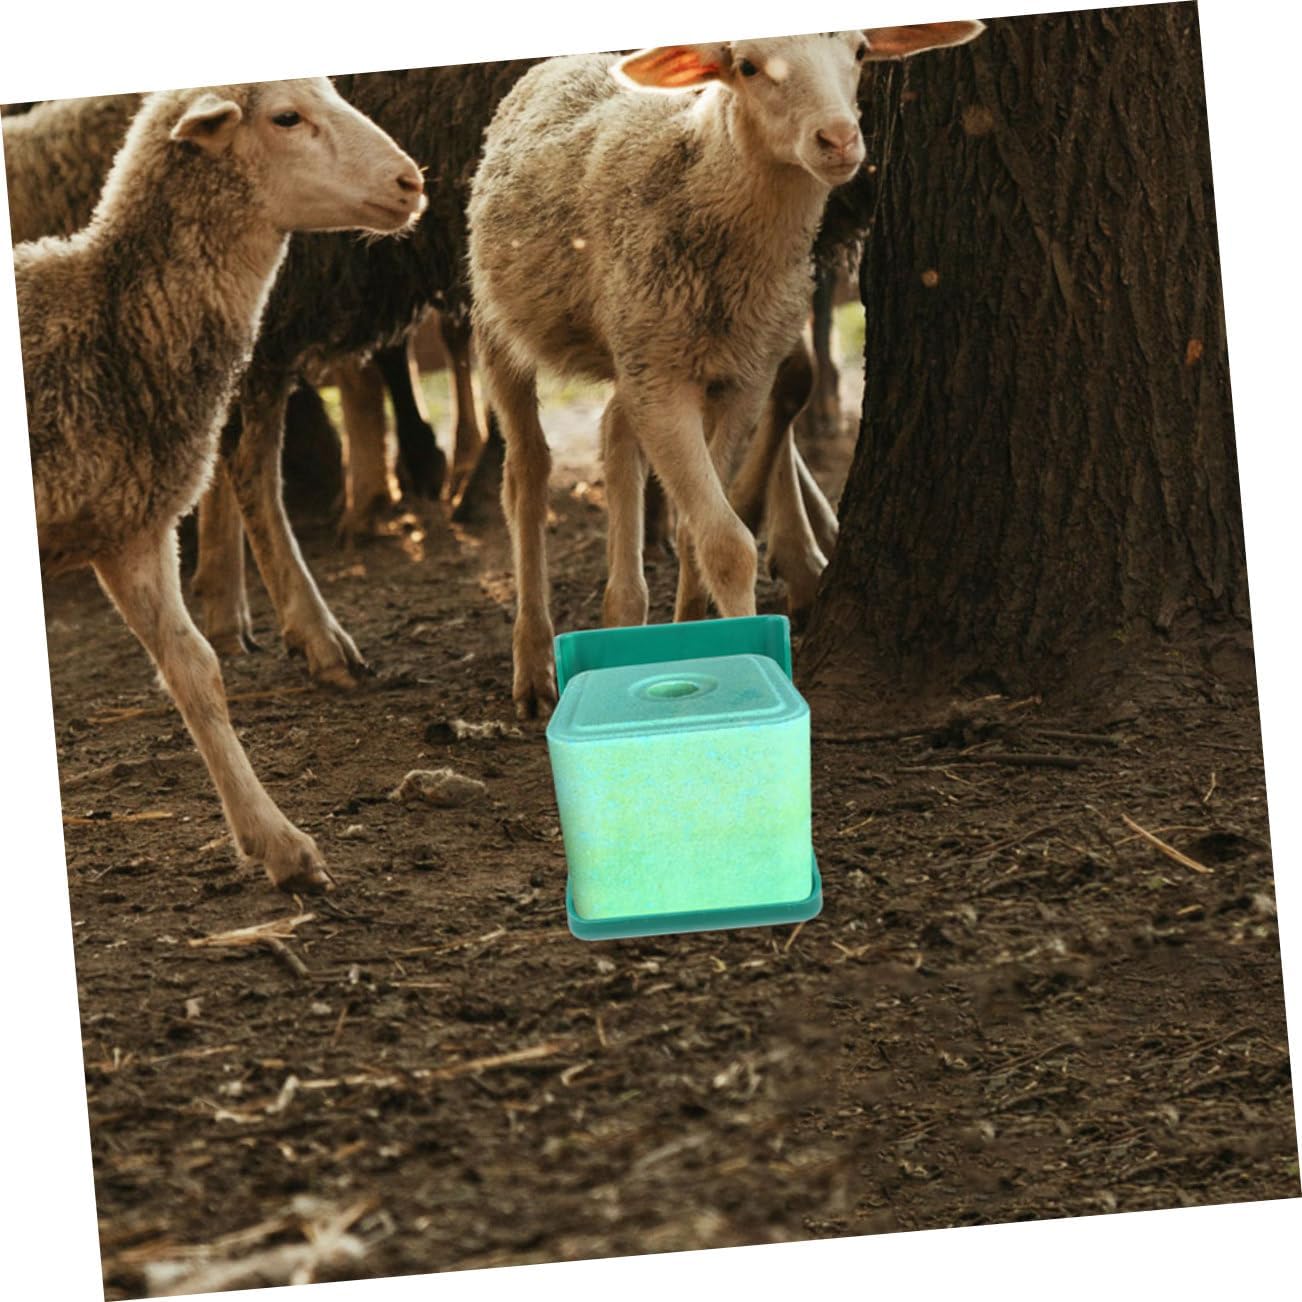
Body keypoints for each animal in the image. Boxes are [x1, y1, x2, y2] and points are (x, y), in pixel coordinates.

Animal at [16, 78, 426, 890]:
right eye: (286, 118)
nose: (411, 182)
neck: (109, 321)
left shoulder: (134, 528)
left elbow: (196, 669)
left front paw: (280, 843)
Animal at [468, 23, 985, 718]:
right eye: (746, 66)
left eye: (859, 52)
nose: (839, 140)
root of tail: (559, 62)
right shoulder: (663, 381)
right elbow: (728, 545)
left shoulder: (742, 376)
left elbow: (696, 532)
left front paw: (694, 629)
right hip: (500, 318)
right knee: (526, 474)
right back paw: (532, 666)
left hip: (635, 342)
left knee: (614, 430)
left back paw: (624, 608)